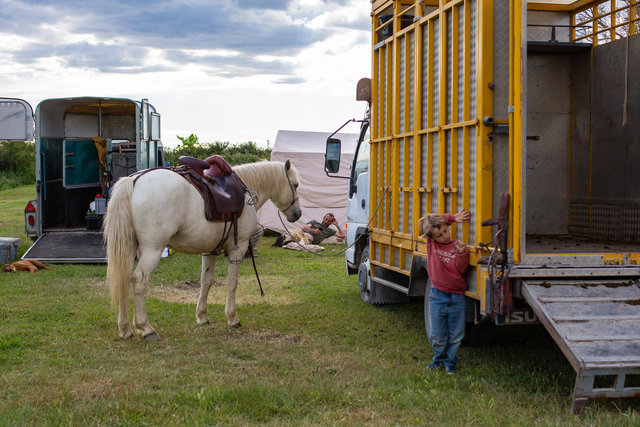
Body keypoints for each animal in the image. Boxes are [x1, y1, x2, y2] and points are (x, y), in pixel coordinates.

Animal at [104, 160, 301, 339]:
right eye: (296, 185)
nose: (297, 214)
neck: (246, 192)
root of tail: (133, 180)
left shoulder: (210, 250)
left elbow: (206, 281)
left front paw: (202, 316)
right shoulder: (239, 248)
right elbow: (232, 282)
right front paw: (232, 318)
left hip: (129, 249)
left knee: (122, 279)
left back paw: (125, 329)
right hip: (152, 249)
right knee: (138, 280)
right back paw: (145, 328)